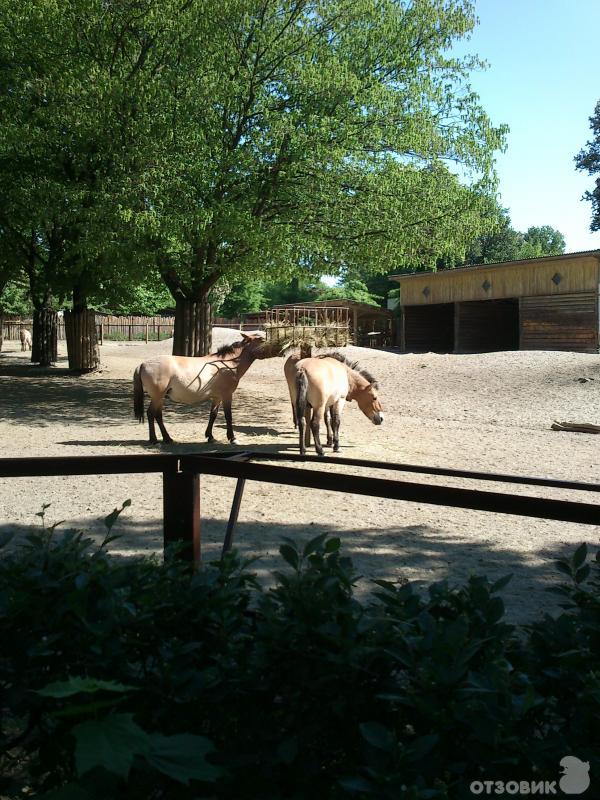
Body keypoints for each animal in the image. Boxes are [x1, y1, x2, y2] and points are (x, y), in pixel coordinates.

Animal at [135, 332, 270, 444]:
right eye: (261, 339)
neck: (228, 364)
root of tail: (142, 364)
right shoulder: (227, 395)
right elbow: (228, 416)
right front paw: (232, 438)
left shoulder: (217, 397)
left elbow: (213, 415)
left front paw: (210, 436)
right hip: (157, 396)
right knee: (151, 413)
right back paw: (154, 439)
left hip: (160, 397)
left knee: (158, 415)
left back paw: (167, 438)